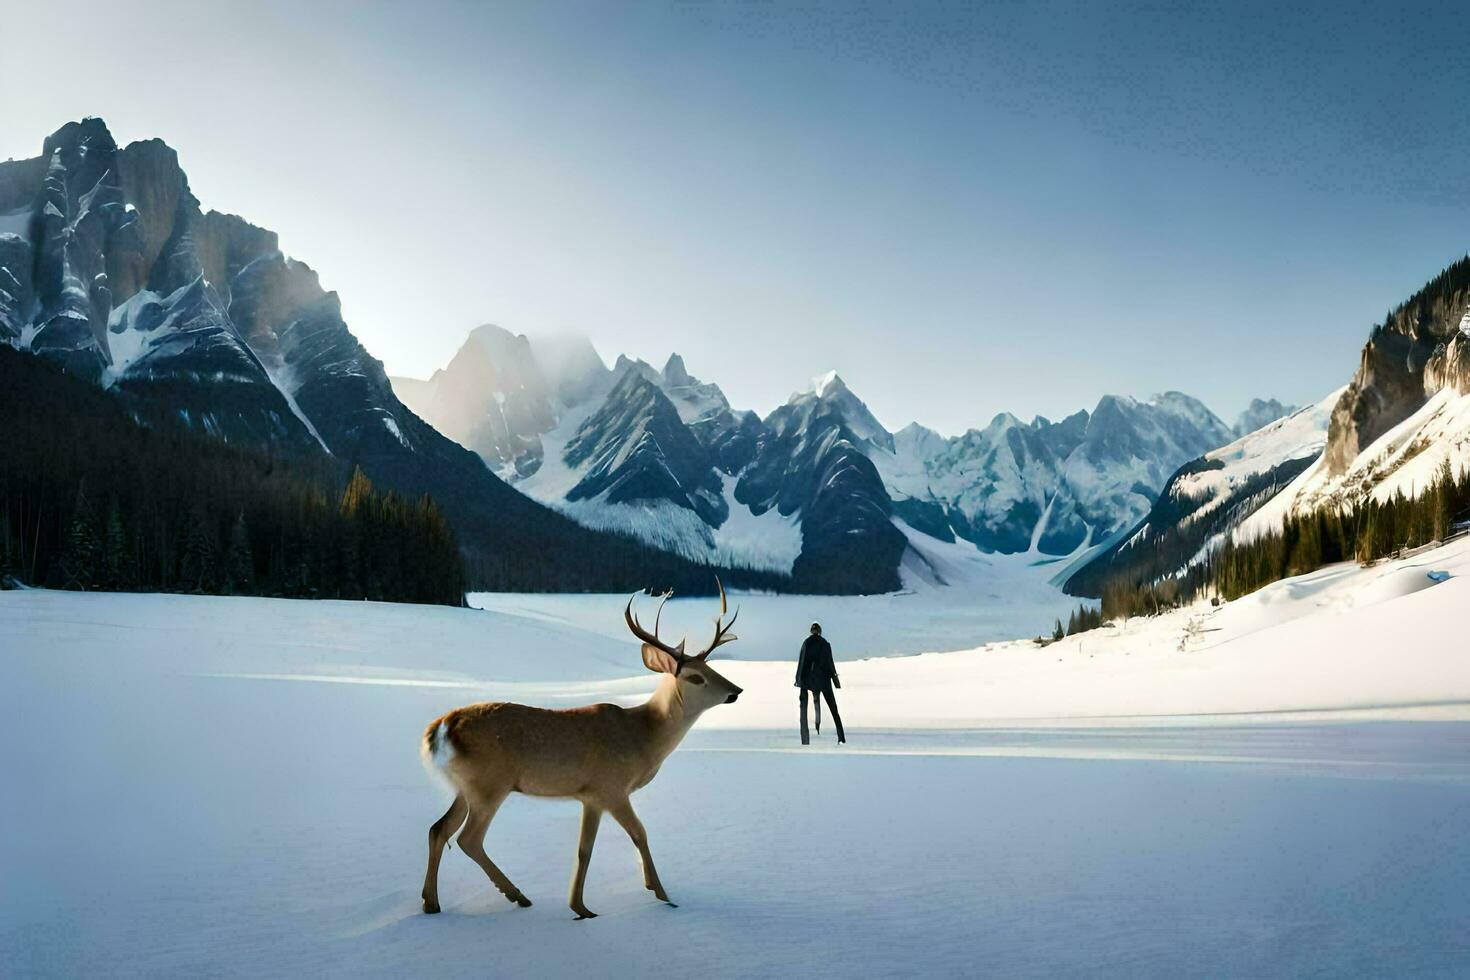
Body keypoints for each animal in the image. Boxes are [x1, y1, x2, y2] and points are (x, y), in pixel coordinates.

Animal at [423, 578, 746, 916]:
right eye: (696, 677)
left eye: (713, 669)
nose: (736, 691)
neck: (643, 738)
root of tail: (442, 727)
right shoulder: (611, 786)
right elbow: (639, 833)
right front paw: (662, 894)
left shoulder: (590, 795)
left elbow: (584, 850)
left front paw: (580, 907)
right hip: (489, 782)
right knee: (468, 839)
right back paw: (517, 895)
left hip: (465, 786)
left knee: (438, 829)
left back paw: (432, 902)